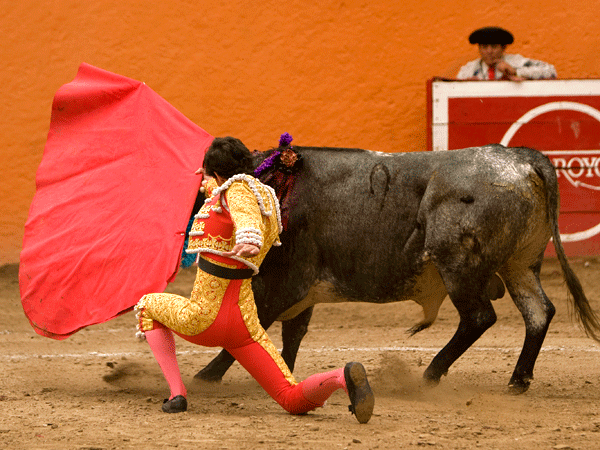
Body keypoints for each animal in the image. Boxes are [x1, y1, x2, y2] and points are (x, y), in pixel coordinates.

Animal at [193, 142, 600, 392]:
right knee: (538, 312)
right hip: (520, 264)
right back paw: (518, 380)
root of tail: (520, 159)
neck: (276, 183)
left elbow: (252, 326)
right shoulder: (300, 293)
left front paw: (207, 375)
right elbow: (291, 332)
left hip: (459, 265)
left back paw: (430, 375)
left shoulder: (287, 282)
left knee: (479, 317)